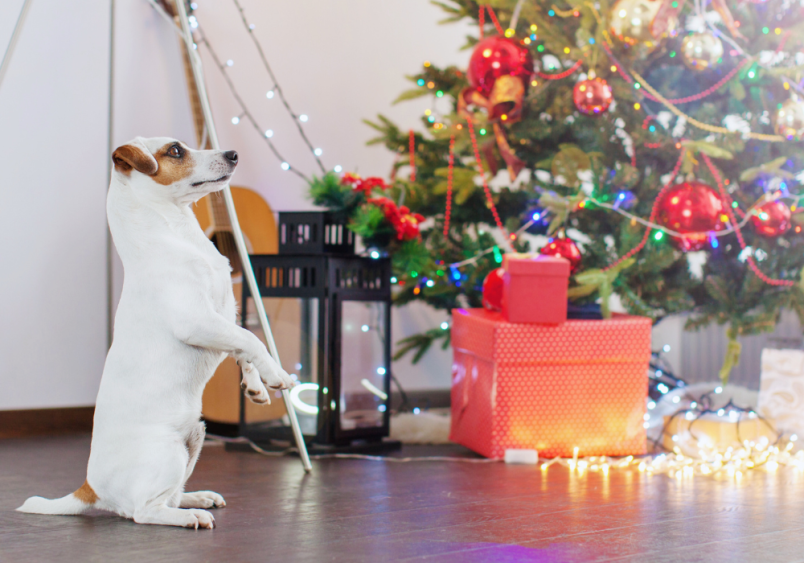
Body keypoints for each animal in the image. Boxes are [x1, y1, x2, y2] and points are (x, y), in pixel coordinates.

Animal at [18, 137, 292, 528]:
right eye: (175, 150)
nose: (234, 154)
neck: (177, 233)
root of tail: (90, 488)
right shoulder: (199, 321)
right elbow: (251, 339)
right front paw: (276, 375)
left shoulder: (226, 314)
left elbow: (243, 345)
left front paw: (255, 386)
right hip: (168, 452)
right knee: (144, 512)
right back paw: (190, 516)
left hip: (196, 436)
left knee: (169, 496)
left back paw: (197, 498)